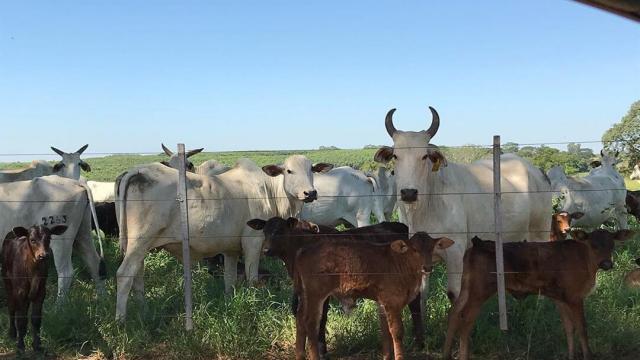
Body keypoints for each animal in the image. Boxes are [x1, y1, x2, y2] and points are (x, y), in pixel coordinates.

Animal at [1, 224, 67, 352]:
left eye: (49, 238)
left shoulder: (41, 292)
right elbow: (21, 320)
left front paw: (37, 344)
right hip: (7, 282)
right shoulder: (20, 292)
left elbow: (36, 319)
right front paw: (20, 346)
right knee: (11, 307)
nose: (43, 255)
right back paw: (12, 333)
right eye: (32, 240)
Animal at [115, 156, 332, 320]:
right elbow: (252, 278)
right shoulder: (253, 242)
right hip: (140, 241)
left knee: (138, 275)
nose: (310, 193)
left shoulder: (231, 250)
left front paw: (230, 304)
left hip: (137, 246)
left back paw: (143, 311)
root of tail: (135, 171)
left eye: (312, 170)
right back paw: (121, 321)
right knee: (125, 275)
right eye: (289, 171)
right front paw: (256, 306)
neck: (269, 191)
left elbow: (230, 280)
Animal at [292, 231, 452, 360]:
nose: (427, 267)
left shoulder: (382, 302)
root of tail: (304, 250)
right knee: (310, 322)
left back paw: (299, 355)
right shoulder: (392, 301)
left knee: (300, 318)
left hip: (305, 293)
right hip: (316, 293)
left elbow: (385, 332)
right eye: (414, 249)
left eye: (432, 248)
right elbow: (397, 332)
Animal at [376, 107, 552, 300]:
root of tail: (537, 171)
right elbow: (421, 294)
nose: (409, 193)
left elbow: (454, 294)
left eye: (424, 156)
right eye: (395, 156)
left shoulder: (456, 253)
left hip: (540, 232)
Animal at [442, 231, 632, 360]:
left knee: (453, 313)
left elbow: (569, 328)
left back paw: (446, 354)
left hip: (467, 287)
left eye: (612, 245)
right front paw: (588, 355)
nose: (607, 264)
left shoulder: (561, 299)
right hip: (480, 291)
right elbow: (582, 328)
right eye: (593, 245)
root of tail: (478, 243)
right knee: (466, 317)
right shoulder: (575, 297)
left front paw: (571, 355)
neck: (586, 261)